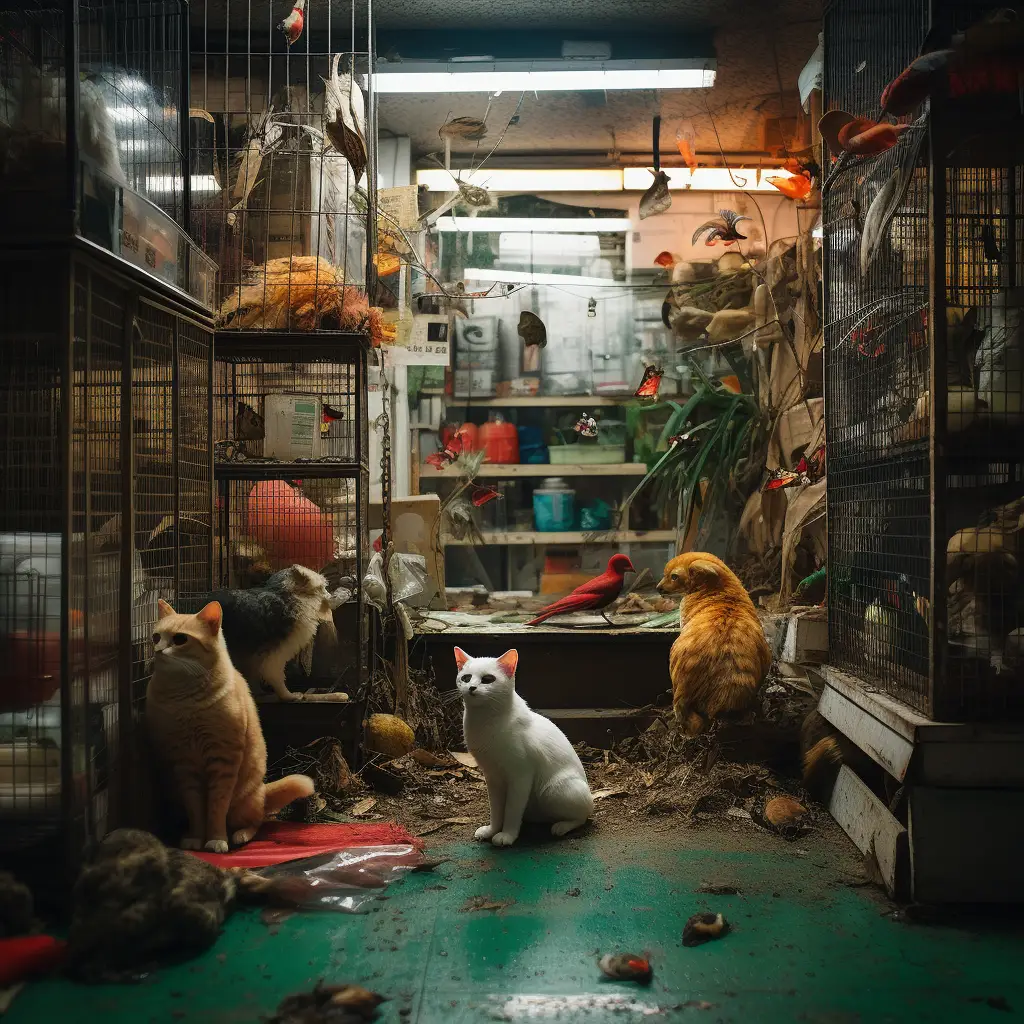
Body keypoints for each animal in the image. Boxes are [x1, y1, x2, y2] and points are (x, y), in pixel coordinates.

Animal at [144, 598, 311, 851]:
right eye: (156, 637)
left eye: (180, 639)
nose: (158, 650)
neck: (184, 698)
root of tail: (262, 788)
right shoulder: (184, 763)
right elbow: (196, 809)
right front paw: (196, 837)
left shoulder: (223, 760)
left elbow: (217, 807)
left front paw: (215, 839)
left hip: (244, 801)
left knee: (258, 820)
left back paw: (240, 834)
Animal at [454, 647, 593, 847]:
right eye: (466, 678)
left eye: (488, 679)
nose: (471, 688)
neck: (485, 721)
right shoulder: (492, 777)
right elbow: (496, 810)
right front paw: (492, 830)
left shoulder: (520, 777)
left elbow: (511, 811)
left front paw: (507, 835)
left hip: (552, 790)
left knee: (584, 814)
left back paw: (561, 827)